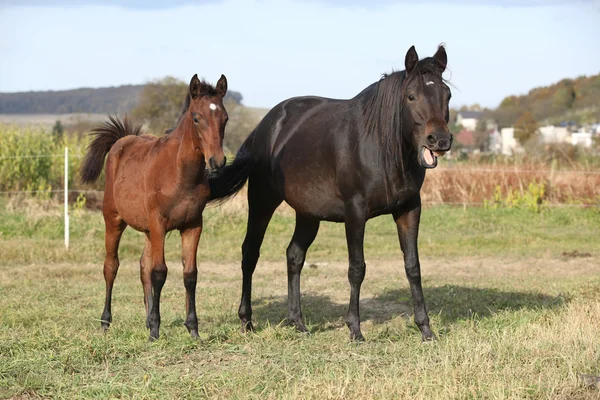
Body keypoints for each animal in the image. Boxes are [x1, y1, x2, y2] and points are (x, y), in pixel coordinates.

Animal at [81, 73, 229, 340]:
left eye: (225, 118)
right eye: (196, 118)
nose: (217, 162)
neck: (180, 174)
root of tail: (123, 140)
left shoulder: (193, 225)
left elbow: (190, 274)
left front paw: (192, 329)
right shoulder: (159, 223)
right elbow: (160, 272)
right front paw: (155, 332)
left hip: (148, 230)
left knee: (143, 266)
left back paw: (147, 320)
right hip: (114, 219)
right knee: (111, 266)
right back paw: (106, 322)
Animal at [209, 46, 452, 340]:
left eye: (447, 95)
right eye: (411, 96)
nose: (439, 140)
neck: (381, 146)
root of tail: (264, 126)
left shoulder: (409, 209)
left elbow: (413, 267)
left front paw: (425, 329)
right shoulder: (355, 212)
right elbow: (357, 268)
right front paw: (355, 329)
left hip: (308, 214)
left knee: (294, 256)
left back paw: (297, 322)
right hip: (262, 202)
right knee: (250, 253)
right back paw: (246, 321)